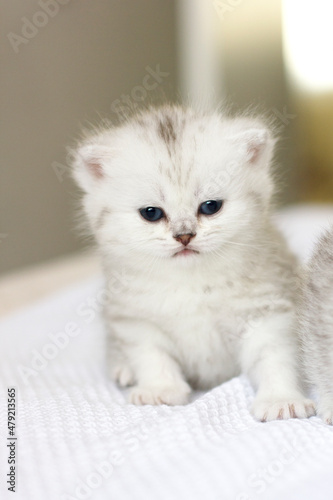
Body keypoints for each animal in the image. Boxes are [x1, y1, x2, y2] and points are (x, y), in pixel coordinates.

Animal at [72, 105, 314, 422]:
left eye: (210, 207)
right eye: (151, 213)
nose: (184, 236)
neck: (191, 281)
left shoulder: (268, 310)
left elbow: (273, 357)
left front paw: (280, 399)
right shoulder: (134, 318)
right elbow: (152, 355)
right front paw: (159, 390)